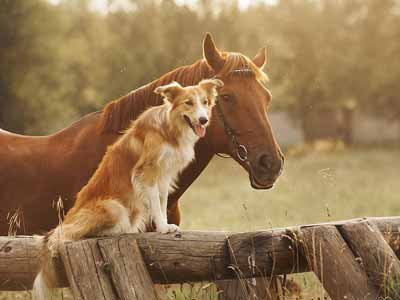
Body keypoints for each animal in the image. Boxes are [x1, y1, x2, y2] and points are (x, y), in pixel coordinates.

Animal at [32, 78, 222, 298]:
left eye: (205, 102)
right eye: (188, 103)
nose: (203, 120)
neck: (169, 128)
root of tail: (67, 220)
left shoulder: (164, 176)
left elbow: (162, 201)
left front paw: (165, 225)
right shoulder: (147, 172)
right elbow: (156, 203)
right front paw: (163, 228)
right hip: (113, 207)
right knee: (70, 235)